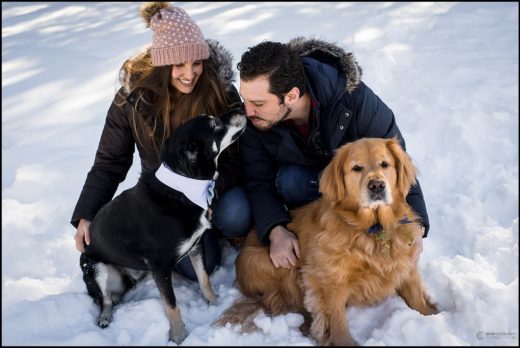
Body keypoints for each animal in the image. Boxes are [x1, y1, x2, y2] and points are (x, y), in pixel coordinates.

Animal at [78, 108, 246, 342]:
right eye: (215, 124)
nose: (242, 109)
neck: (181, 190)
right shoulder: (159, 266)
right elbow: (171, 305)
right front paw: (179, 336)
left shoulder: (195, 247)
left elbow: (204, 280)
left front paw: (214, 304)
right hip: (94, 267)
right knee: (106, 300)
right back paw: (105, 317)